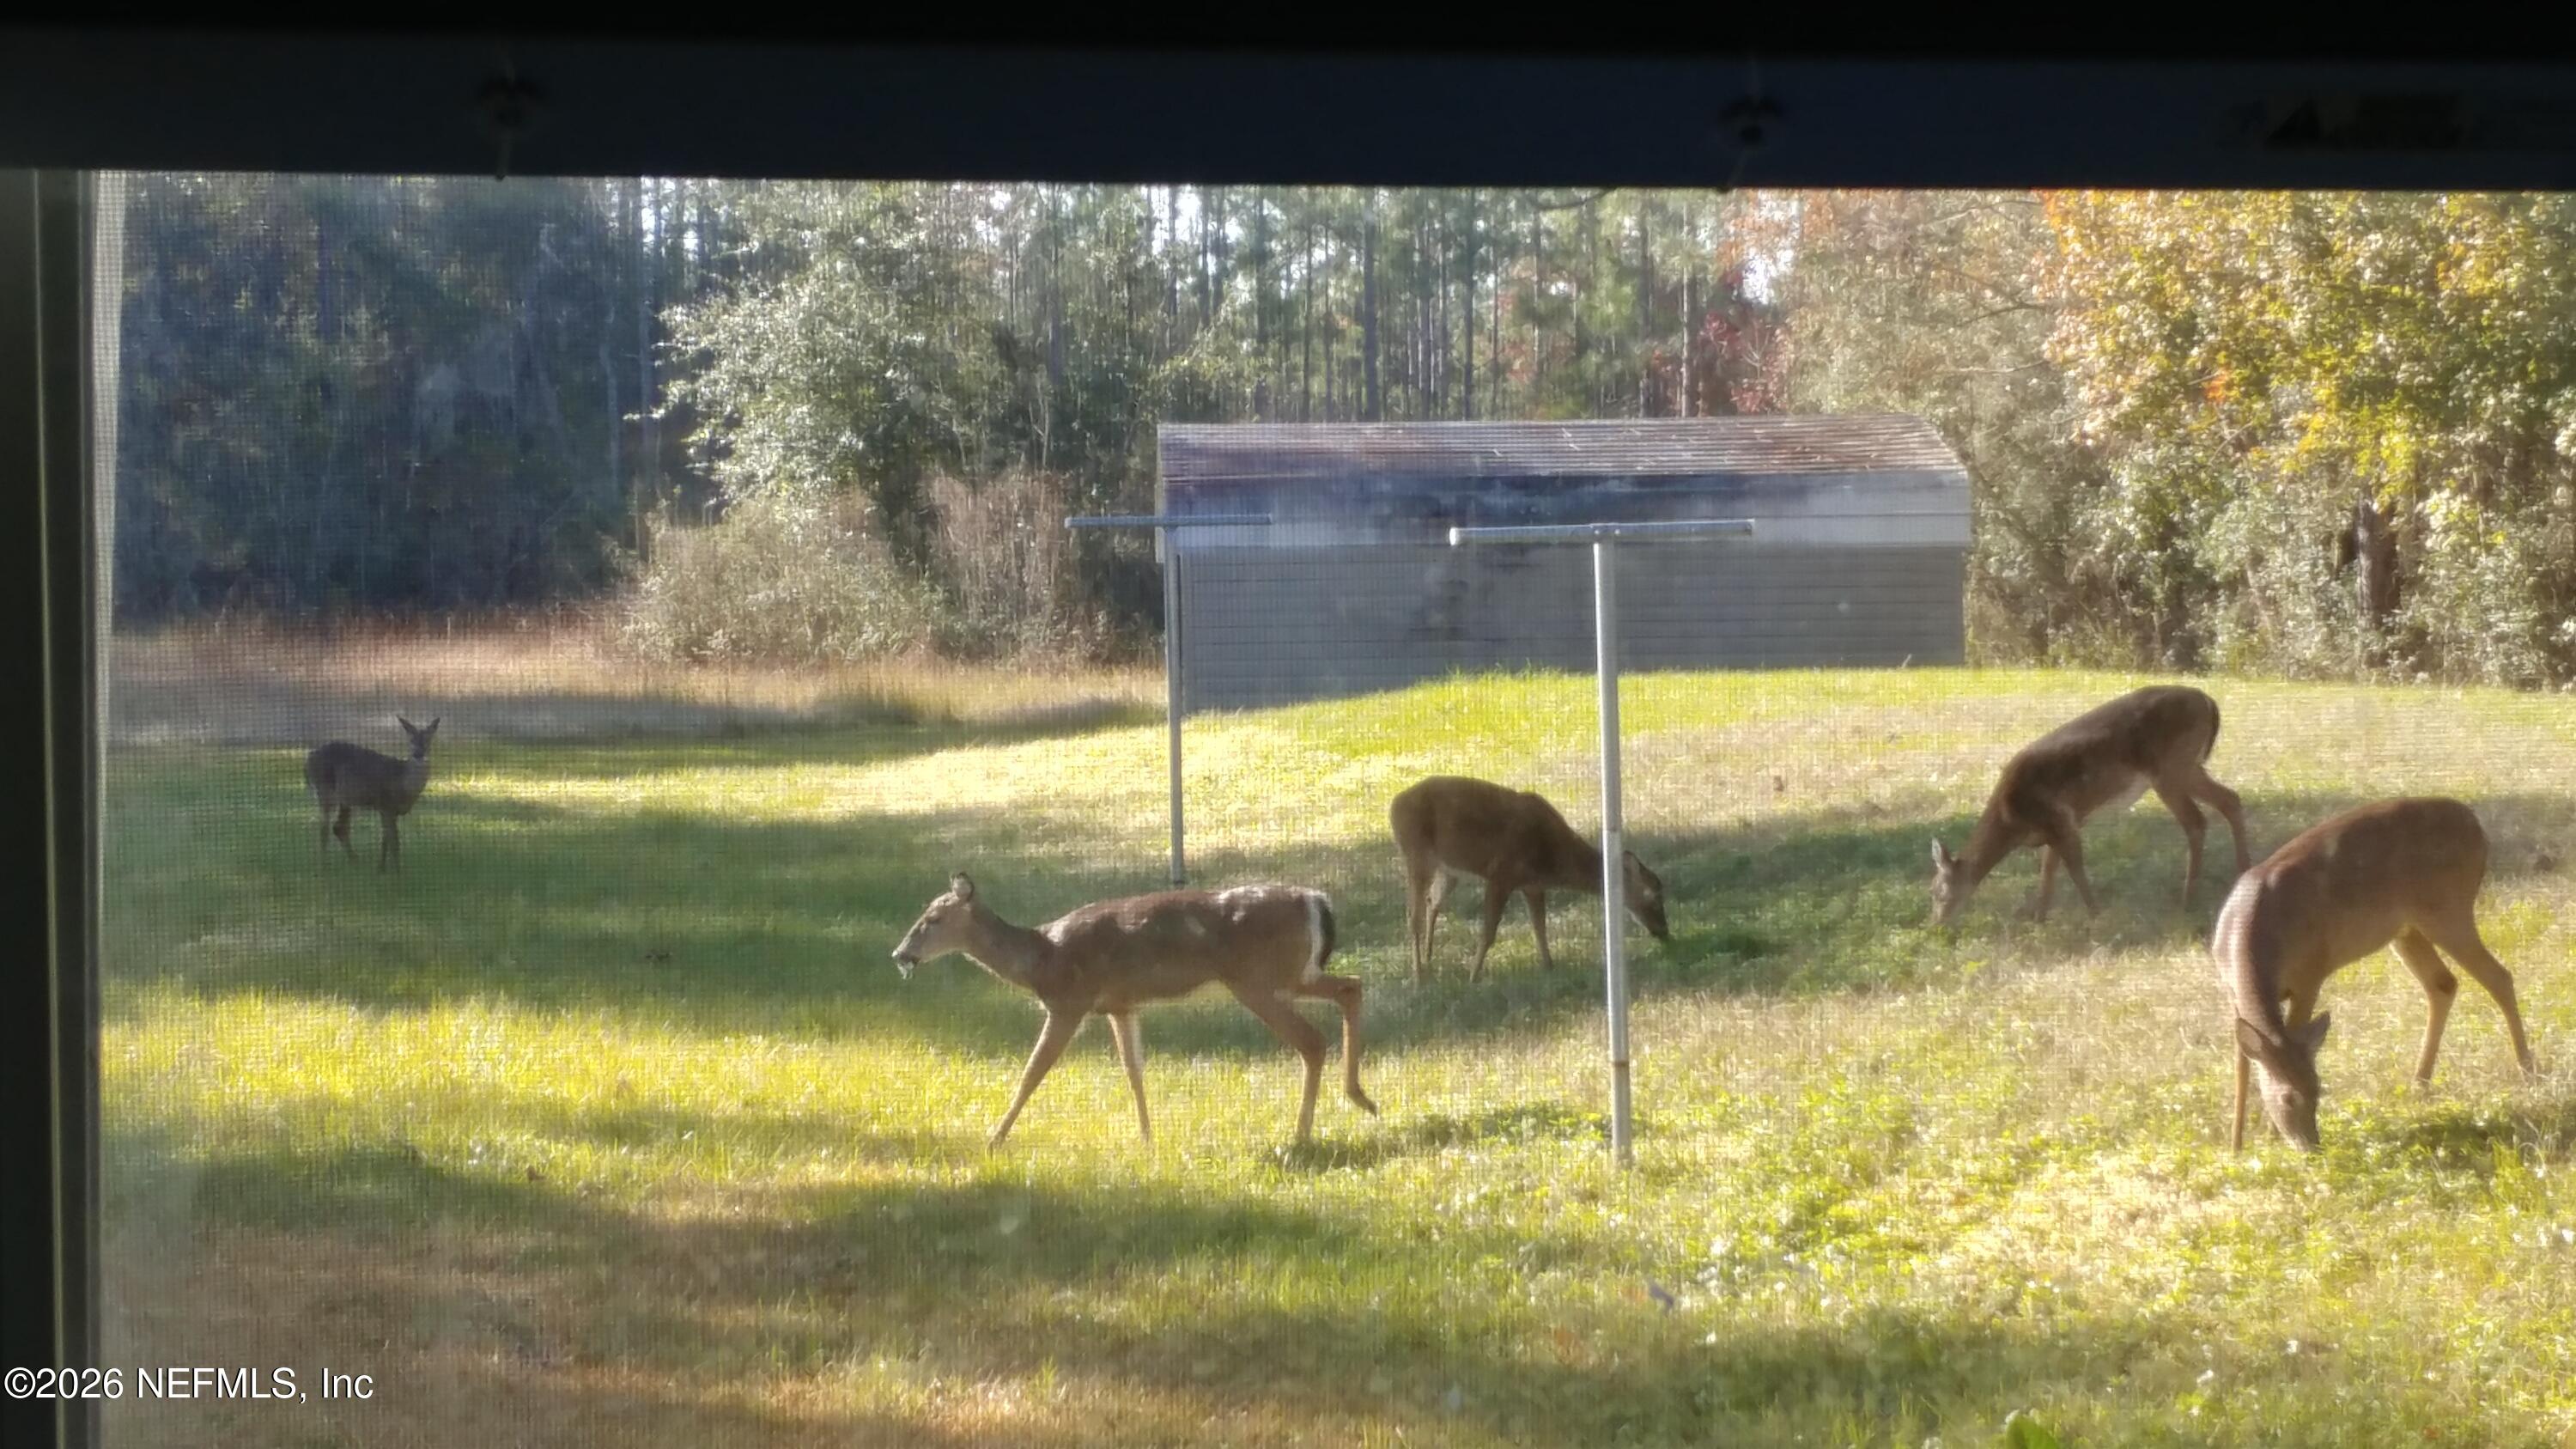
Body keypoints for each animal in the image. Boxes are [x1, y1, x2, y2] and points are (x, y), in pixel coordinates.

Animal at [305, 715, 438, 872]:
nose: (418, 754)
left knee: (339, 828)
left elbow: (385, 840)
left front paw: (381, 868)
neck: (403, 783)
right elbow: (394, 842)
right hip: (325, 790)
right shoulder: (386, 805)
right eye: (411, 739)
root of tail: (308, 760)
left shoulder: (387, 810)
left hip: (346, 799)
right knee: (325, 829)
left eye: (428, 740)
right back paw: (324, 868)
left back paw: (355, 861)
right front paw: (398, 872)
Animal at [889, 872, 1378, 1148]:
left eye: (932, 919)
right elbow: (1134, 1070)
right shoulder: (1120, 1006)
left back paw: (1302, 1133)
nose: (900, 954)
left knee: (1312, 1040)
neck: (1042, 958)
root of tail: (1316, 901)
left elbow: (1033, 1072)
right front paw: (1146, 1137)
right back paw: (1360, 1098)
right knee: (1352, 987)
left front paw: (994, 1138)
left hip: (1258, 981)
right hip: (1293, 974)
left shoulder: (1070, 1001)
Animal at [1390, 774, 1671, 984]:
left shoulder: (1533, 885)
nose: (1665, 933)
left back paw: (1429, 959)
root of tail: (1394, 804)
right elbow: (1489, 932)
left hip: (1450, 869)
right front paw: (1473, 977)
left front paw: (1549, 967)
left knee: (1432, 901)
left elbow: (1540, 928)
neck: (1553, 857)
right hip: (1416, 853)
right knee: (1412, 916)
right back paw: (1418, 978)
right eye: (1652, 897)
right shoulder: (1502, 874)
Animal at [1930, 685, 2250, 926]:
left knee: (2196, 821)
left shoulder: (2061, 819)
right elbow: (2048, 870)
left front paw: (2096, 915)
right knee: (2230, 800)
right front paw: (2039, 919)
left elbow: (2074, 868)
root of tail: (2208, 701)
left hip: (2171, 767)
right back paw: (2241, 873)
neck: (2012, 821)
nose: (1937, 924)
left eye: (1936, 891)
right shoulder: (2056, 828)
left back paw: (2188, 900)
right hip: (2189, 767)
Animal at [2215, 797, 2538, 1151]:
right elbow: (2243, 1064)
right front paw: (2236, 1144)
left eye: (2318, 1089)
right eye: (2288, 1098)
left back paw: (2528, 1070)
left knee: (2498, 976)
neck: (2252, 936)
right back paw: (2419, 1083)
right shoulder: (2230, 991)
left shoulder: (2311, 974)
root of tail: (2476, 825)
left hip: (2448, 909)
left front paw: (2269, 1137)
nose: (2312, 1147)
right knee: (2443, 983)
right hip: (2407, 930)